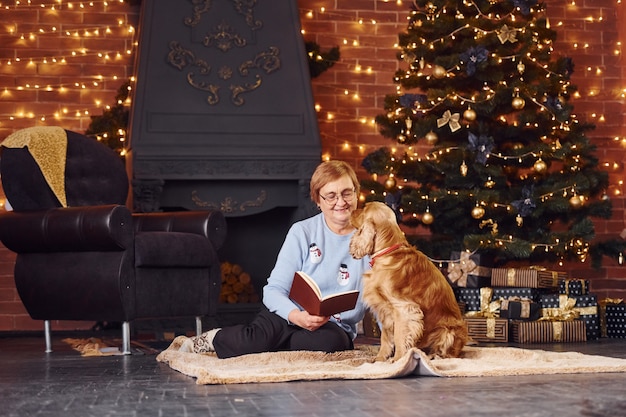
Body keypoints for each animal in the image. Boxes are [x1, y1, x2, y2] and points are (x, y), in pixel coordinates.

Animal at [348, 202, 466, 360]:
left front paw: (398, 359)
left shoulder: (404, 309)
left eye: (364, 209)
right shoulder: (385, 309)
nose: (351, 211)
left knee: (448, 354)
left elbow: (399, 337)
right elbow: (385, 337)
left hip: (447, 332)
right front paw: (380, 359)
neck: (388, 252)